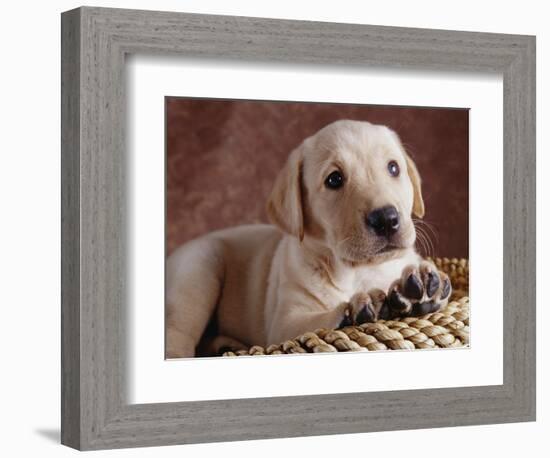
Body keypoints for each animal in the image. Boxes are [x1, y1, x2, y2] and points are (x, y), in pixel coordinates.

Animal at [168, 119, 452, 358]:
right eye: (334, 179)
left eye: (393, 168)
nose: (386, 218)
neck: (359, 271)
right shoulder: (284, 323)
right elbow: (316, 322)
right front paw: (360, 308)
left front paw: (424, 287)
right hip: (199, 269)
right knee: (177, 335)